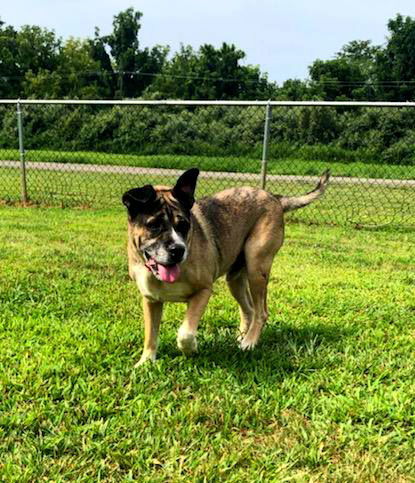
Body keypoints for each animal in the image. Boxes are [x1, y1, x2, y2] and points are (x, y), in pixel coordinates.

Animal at [122, 168, 330, 364]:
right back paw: (242, 337)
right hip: (236, 279)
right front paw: (146, 361)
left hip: (257, 267)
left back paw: (249, 342)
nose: (178, 250)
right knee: (249, 309)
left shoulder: (203, 291)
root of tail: (274, 197)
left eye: (184, 225)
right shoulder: (151, 300)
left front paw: (191, 349)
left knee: (261, 312)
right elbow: (151, 334)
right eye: (153, 225)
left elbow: (185, 333)